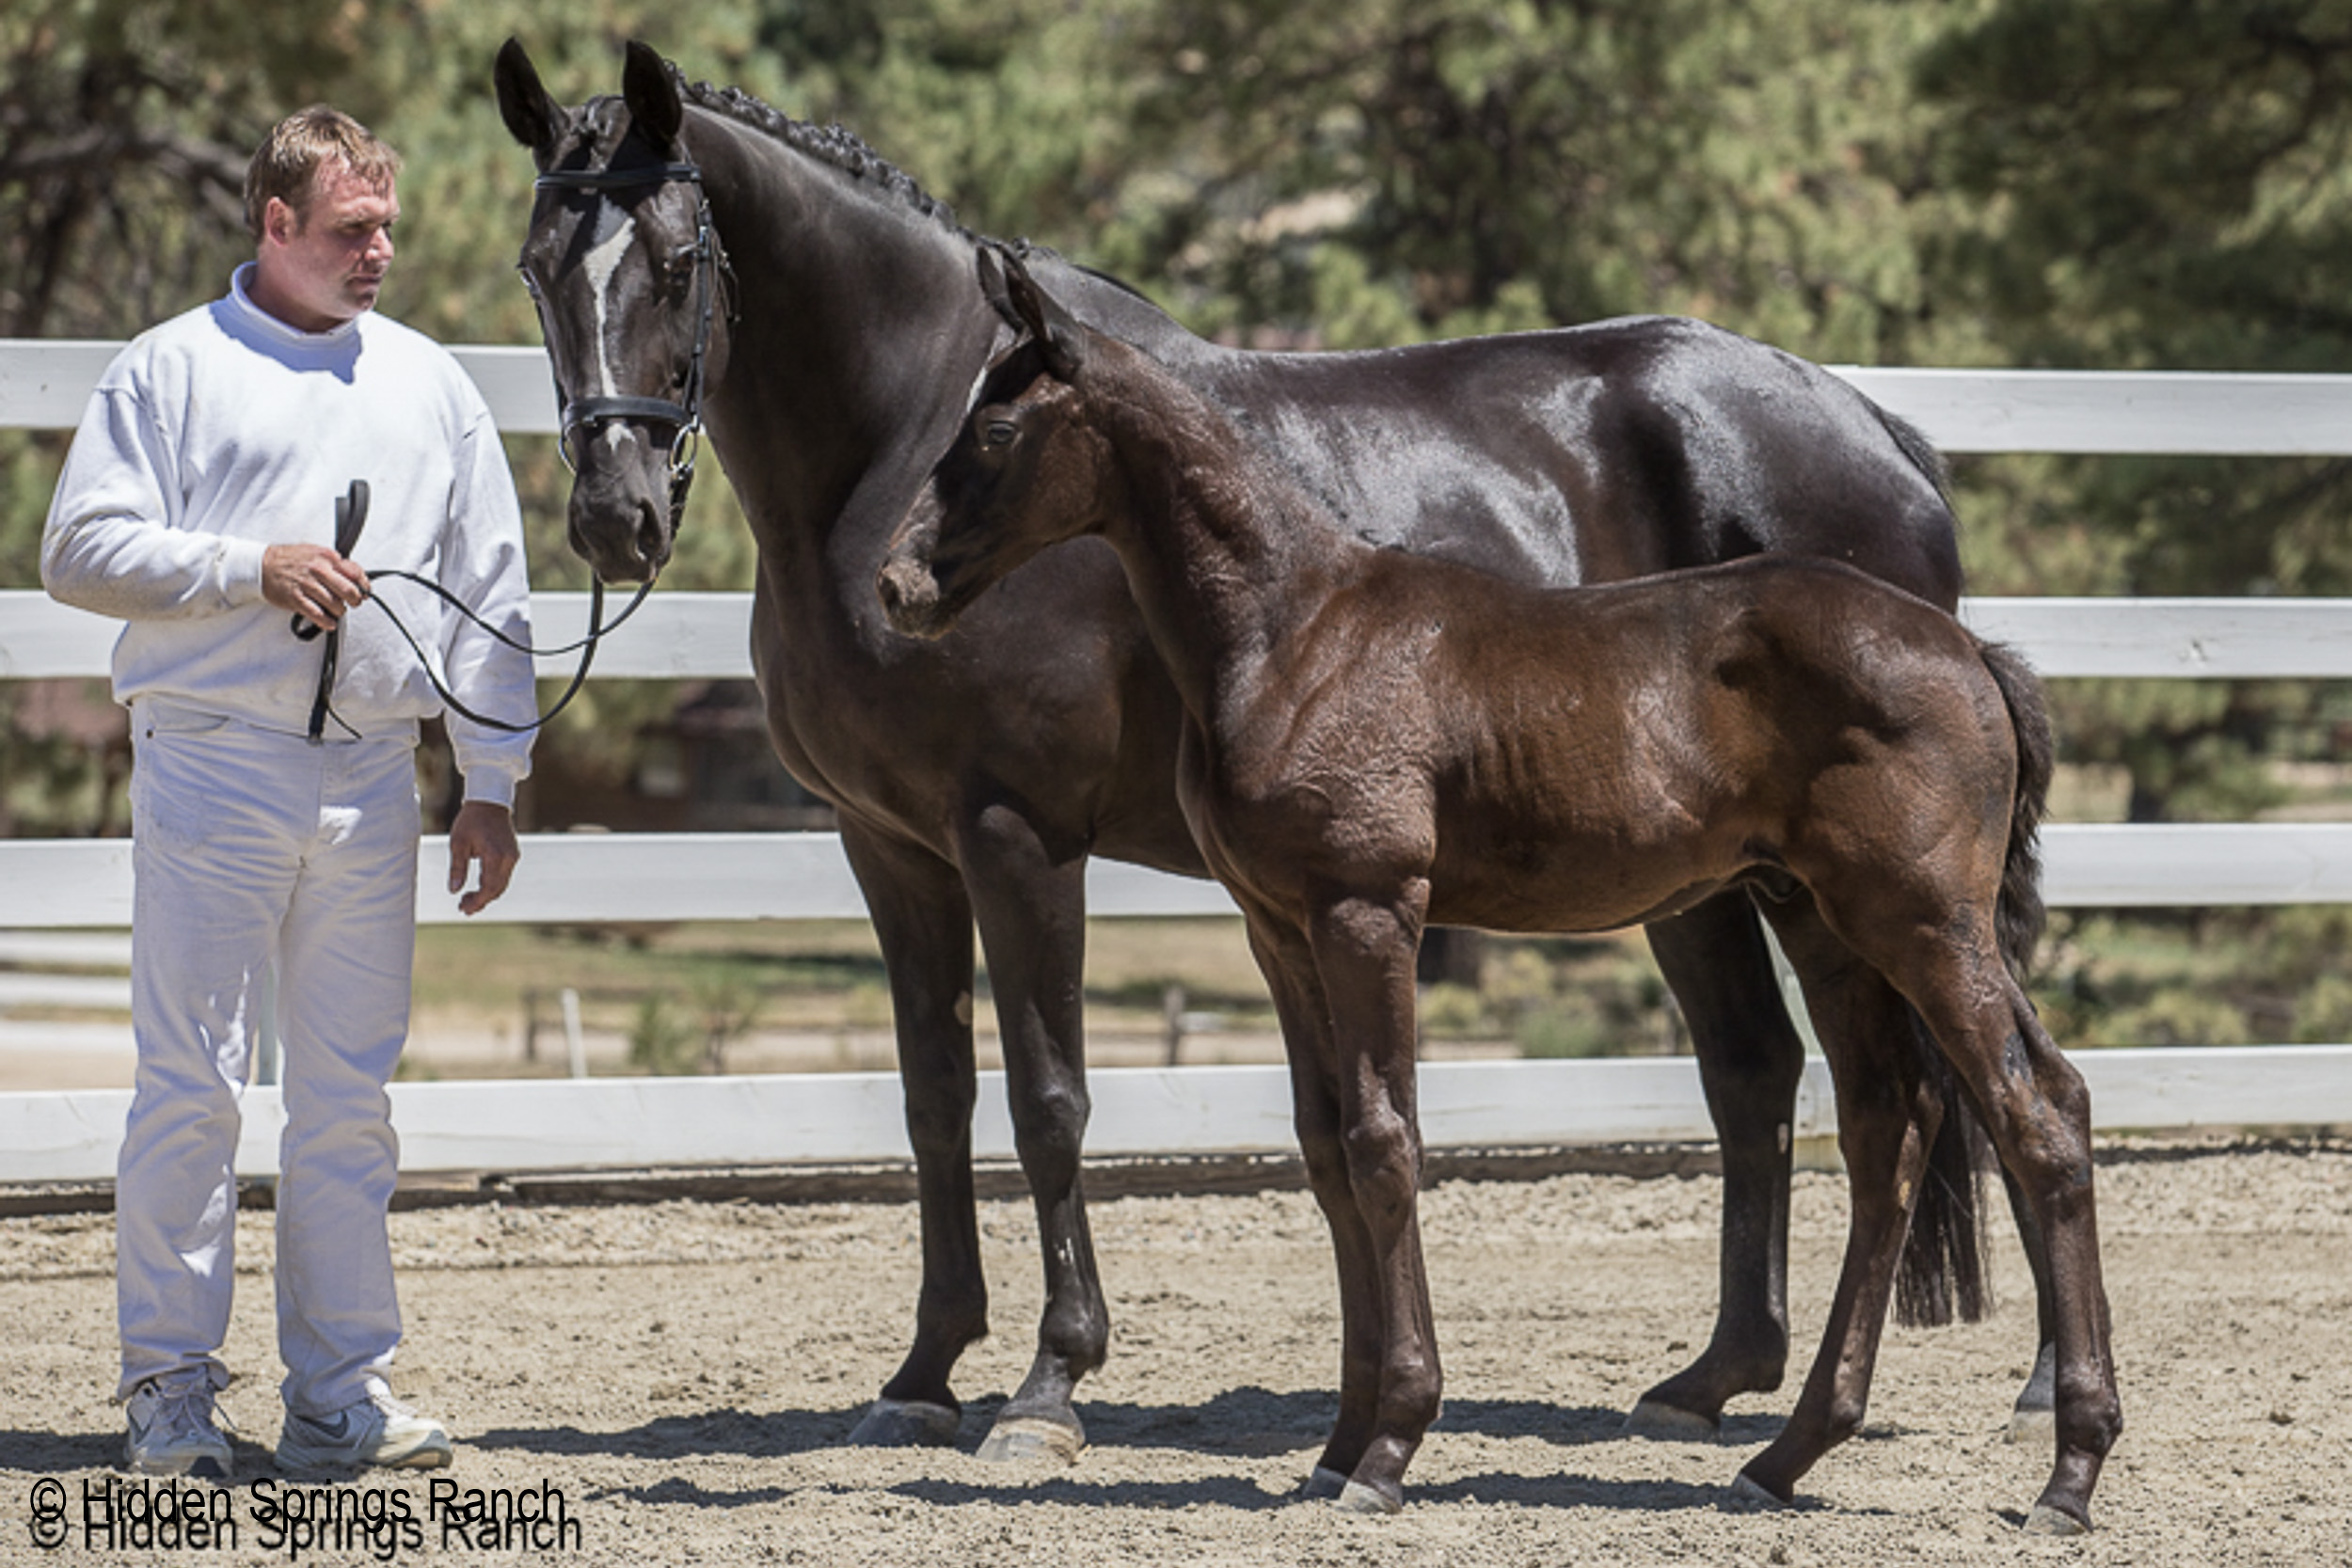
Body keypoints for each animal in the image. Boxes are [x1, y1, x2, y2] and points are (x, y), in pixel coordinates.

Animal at [493, 38, 2052, 1466]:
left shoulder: (1017, 833)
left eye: (678, 261)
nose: (617, 517)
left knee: (1964, 1073)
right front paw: (924, 1371)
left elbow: (1049, 1100)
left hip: (1856, 887)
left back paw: (2028, 1389)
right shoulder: (891, 846)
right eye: (537, 268)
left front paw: (1048, 1386)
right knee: (1756, 1069)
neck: (902, 437)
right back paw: (1718, 1377)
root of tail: (1879, 429)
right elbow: (936, 1103)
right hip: (1713, 880)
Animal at [875, 253, 2120, 1530]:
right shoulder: (1279, 927)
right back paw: (1788, 1452)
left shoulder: (1369, 907)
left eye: (997, 428)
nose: (896, 582)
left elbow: (1385, 1140)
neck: (1298, 629)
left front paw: (1390, 1443)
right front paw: (1336, 1444)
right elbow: (1324, 1147)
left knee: (2034, 1111)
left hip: (1919, 920)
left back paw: (2065, 1471)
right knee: (1895, 1122)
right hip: (1825, 918)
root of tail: (1972, 653)